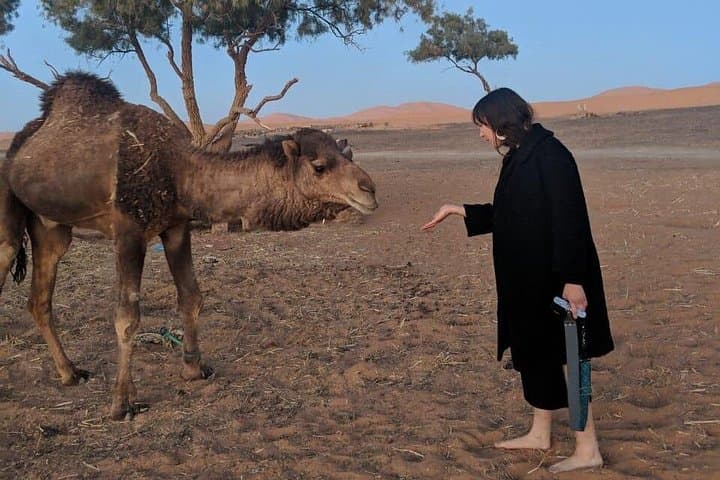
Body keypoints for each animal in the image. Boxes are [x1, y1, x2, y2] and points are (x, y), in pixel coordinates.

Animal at [0, 72, 377, 420]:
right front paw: (122, 403)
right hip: (9, 203)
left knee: (40, 299)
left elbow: (191, 296)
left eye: (347, 154)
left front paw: (195, 368)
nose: (369, 190)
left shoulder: (176, 227)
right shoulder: (128, 233)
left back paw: (69, 373)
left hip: (51, 226)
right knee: (9, 254)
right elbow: (127, 318)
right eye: (319, 166)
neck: (178, 170)